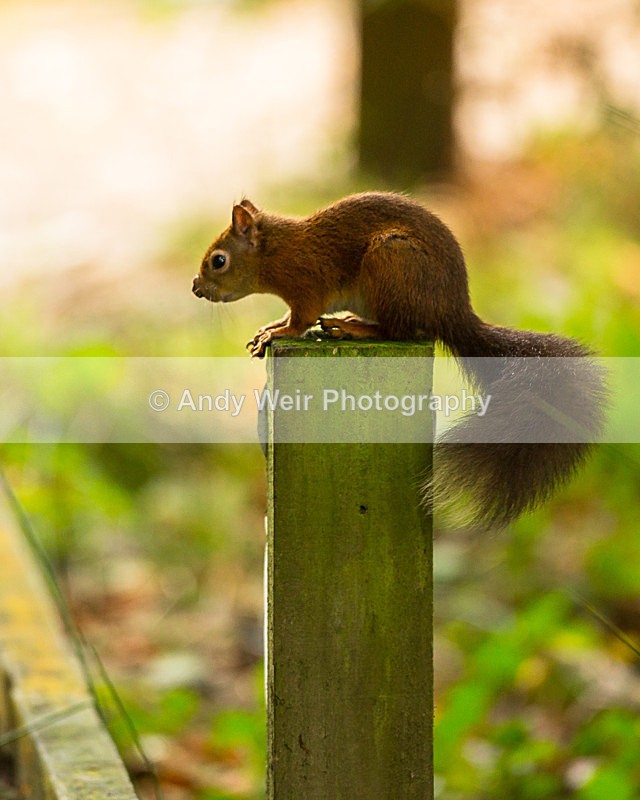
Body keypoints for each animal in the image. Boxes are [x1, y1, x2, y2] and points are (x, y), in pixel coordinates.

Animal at [192, 192, 606, 527]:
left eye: (218, 261)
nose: (196, 289)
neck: (277, 251)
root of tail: (452, 312)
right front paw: (270, 326)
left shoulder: (308, 285)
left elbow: (301, 320)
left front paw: (277, 333)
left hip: (391, 261)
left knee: (400, 330)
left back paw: (354, 328)